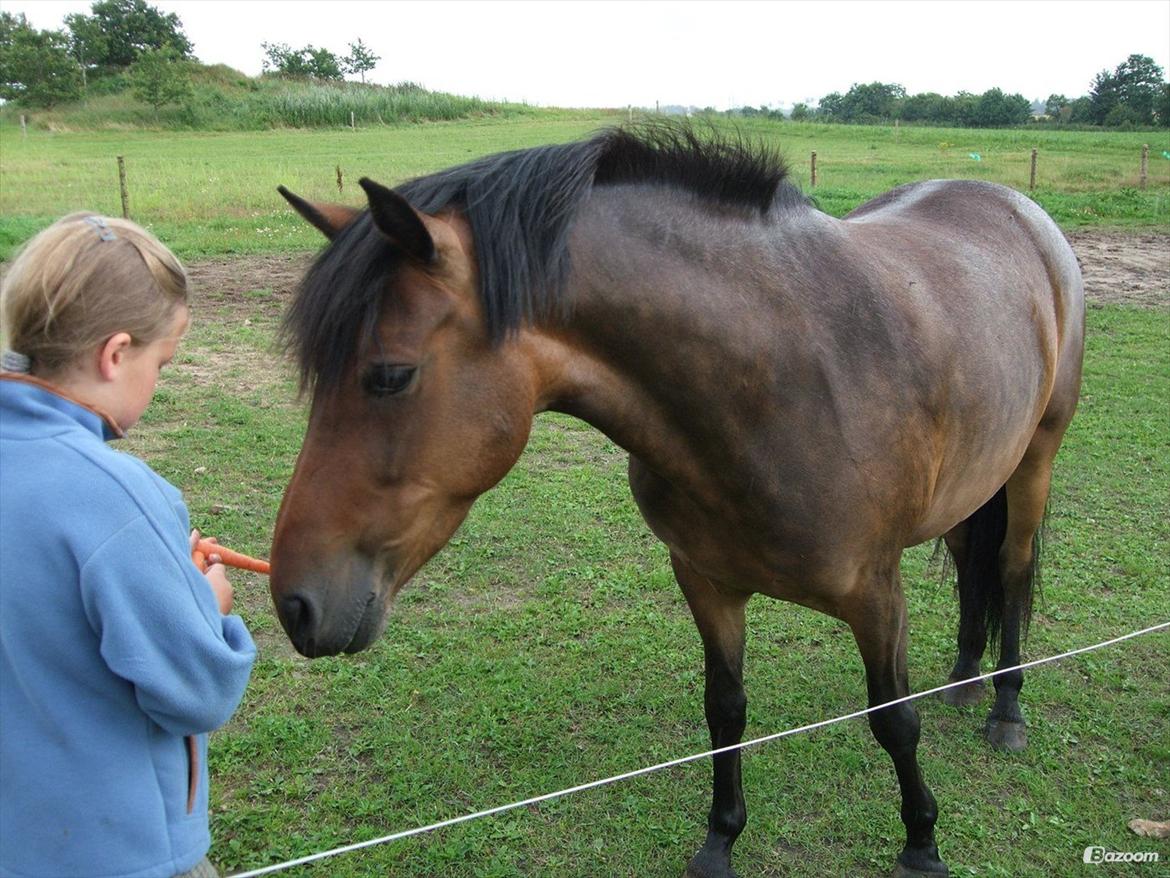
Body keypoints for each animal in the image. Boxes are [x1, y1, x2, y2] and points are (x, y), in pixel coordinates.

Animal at [269, 124, 1081, 878]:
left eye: (390, 375)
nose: (295, 605)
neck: (780, 386)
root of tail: (1012, 205)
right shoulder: (704, 578)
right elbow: (725, 709)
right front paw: (721, 840)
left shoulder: (877, 592)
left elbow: (893, 721)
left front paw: (921, 843)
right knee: (972, 561)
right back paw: (966, 678)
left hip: (1036, 455)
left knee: (1011, 569)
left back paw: (1006, 708)